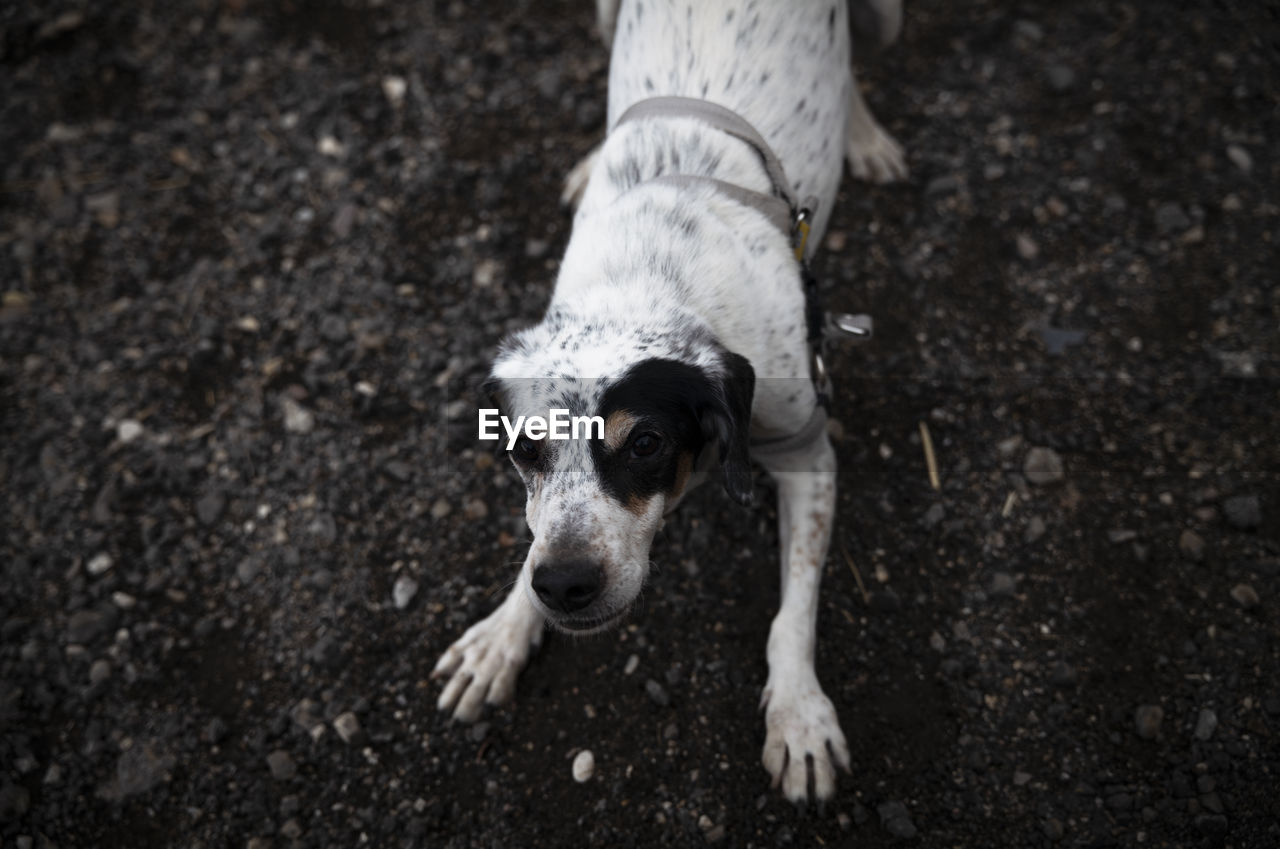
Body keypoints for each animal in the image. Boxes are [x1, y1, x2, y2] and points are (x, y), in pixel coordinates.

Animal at [435, 0, 906, 804]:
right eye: (523, 448)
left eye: (647, 443)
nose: (564, 585)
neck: (652, 275)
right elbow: (529, 539)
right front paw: (501, 634)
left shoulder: (808, 453)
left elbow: (793, 612)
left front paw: (799, 714)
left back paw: (865, 136)